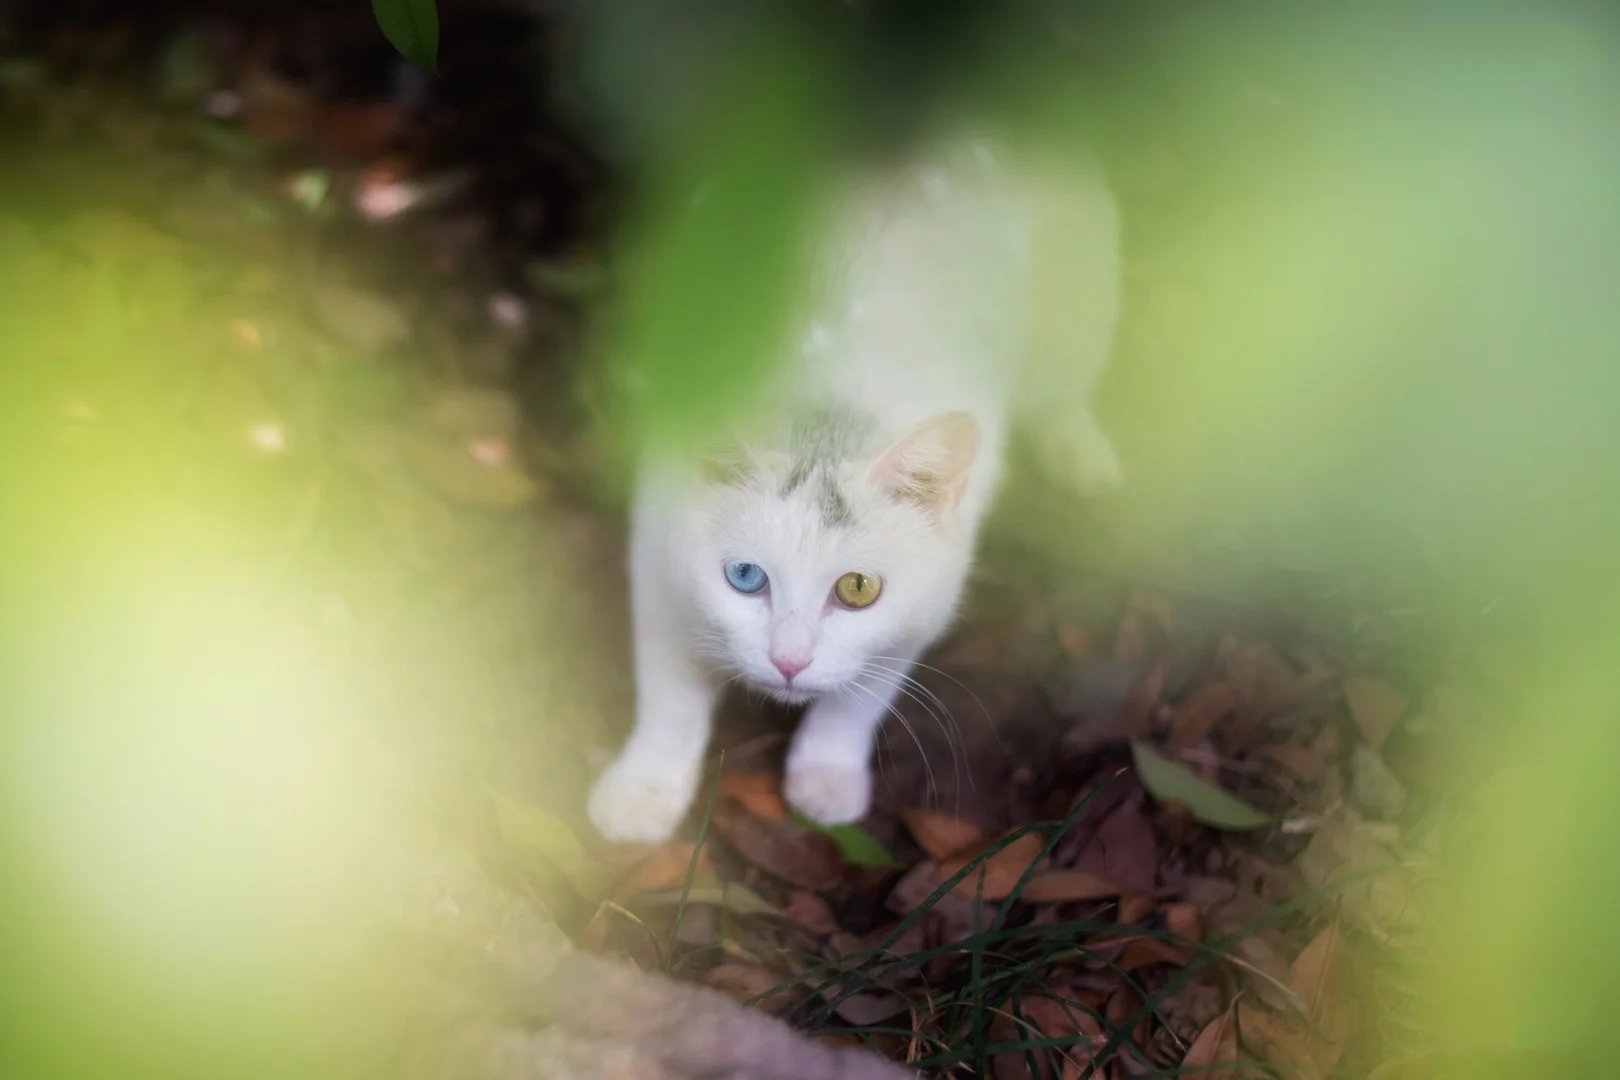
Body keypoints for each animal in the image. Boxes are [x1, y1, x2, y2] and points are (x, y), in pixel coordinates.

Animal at [589, 135, 1121, 841]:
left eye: (858, 589)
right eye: (745, 577)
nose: (789, 663)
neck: (825, 413)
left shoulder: (921, 610)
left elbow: (857, 700)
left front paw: (826, 776)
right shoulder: (657, 567)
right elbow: (670, 696)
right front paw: (644, 789)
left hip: (1079, 294)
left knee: (1063, 385)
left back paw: (1080, 451)